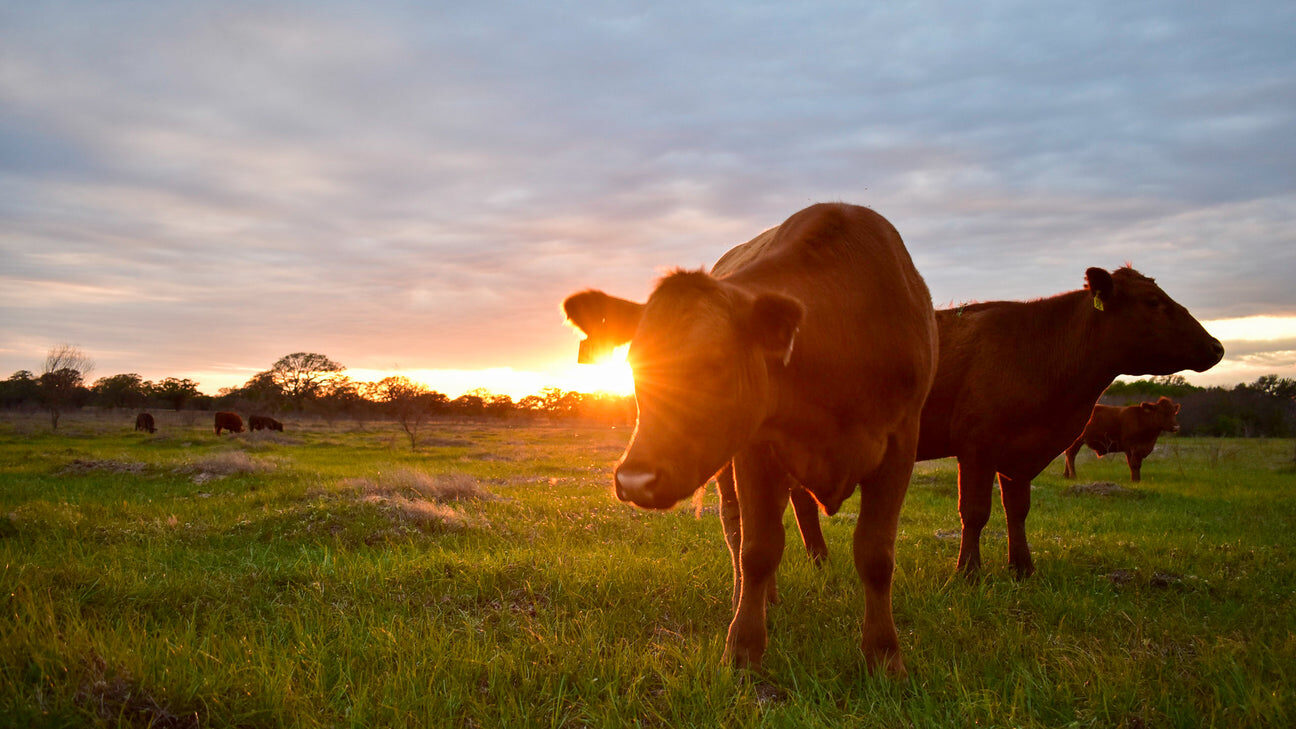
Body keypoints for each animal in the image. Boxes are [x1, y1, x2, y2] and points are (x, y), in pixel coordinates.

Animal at [563, 203, 937, 675]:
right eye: (633, 362)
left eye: (716, 363)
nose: (634, 480)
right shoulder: (756, 448)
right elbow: (757, 549)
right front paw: (743, 646)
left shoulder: (902, 443)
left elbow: (876, 555)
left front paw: (884, 656)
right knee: (736, 530)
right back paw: (749, 600)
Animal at [788, 267, 1223, 578]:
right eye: (1153, 302)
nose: (1217, 347)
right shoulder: (976, 447)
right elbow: (975, 511)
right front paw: (967, 573)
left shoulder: (1021, 452)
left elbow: (1017, 510)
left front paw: (1022, 568)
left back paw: (819, 560)